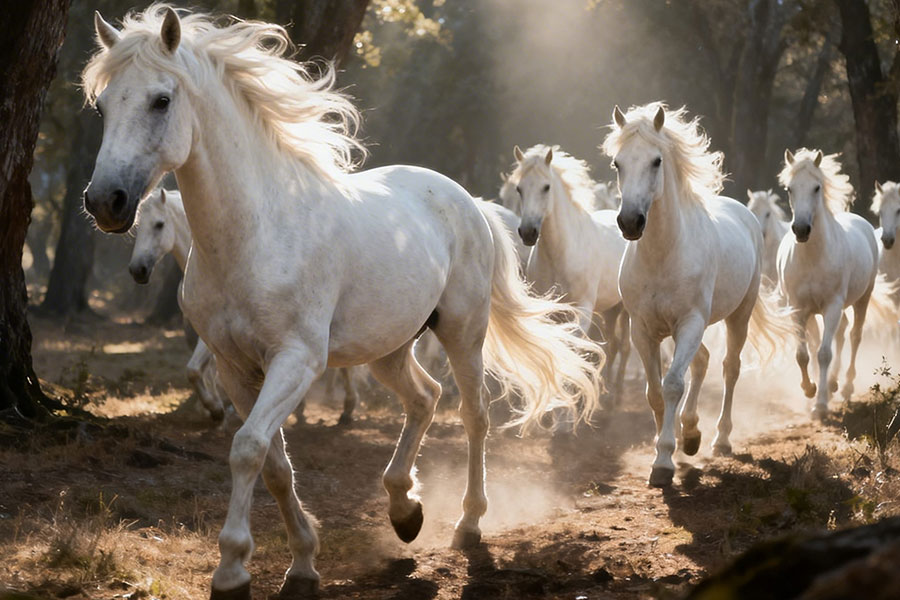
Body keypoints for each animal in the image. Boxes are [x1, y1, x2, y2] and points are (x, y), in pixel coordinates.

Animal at [82, 7, 602, 598]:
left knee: (474, 416)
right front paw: (302, 564)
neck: (254, 233)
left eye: (161, 100)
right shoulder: (236, 368)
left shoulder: (296, 360)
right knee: (425, 398)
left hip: (463, 331)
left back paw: (468, 523)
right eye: (102, 105)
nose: (104, 202)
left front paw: (232, 569)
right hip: (390, 348)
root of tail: (467, 201)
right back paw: (404, 510)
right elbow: (273, 463)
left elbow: (246, 448)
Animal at [509, 144, 630, 406]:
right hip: (609, 309)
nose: (528, 232)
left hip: (625, 309)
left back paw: (616, 397)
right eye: (519, 188)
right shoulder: (551, 312)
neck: (561, 253)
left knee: (624, 347)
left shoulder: (582, 311)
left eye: (546, 187)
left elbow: (576, 350)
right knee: (613, 345)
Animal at [603, 103, 793, 487]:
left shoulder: (690, 322)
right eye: (617, 163)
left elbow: (673, 384)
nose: (630, 222)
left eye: (656, 161)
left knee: (729, 368)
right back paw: (689, 434)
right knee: (702, 361)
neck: (664, 254)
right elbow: (655, 393)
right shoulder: (643, 330)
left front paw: (663, 462)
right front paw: (670, 444)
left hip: (737, 316)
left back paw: (720, 440)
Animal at [777, 149, 879, 418]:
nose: (801, 229)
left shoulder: (832, 306)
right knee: (835, 335)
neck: (813, 257)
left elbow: (824, 353)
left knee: (853, 336)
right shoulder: (798, 308)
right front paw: (809, 389)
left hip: (862, 299)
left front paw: (820, 405)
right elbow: (803, 354)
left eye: (817, 187)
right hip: (817, 312)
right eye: (789, 188)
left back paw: (844, 387)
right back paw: (830, 384)